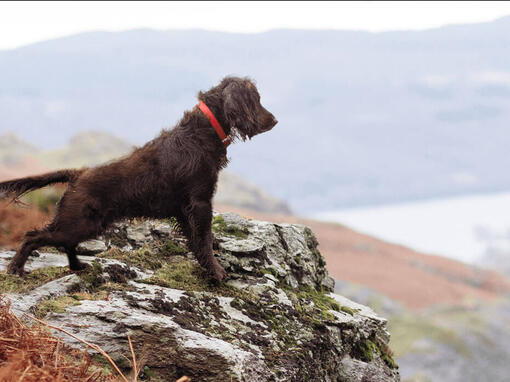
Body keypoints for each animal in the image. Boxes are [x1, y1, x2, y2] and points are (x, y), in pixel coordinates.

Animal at [0, 77, 276, 280]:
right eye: (257, 99)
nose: (274, 120)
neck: (201, 133)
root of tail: (78, 174)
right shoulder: (200, 202)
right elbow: (204, 239)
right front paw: (217, 271)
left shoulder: (185, 209)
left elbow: (197, 240)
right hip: (78, 223)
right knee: (33, 237)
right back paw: (16, 269)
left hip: (86, 224)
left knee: (64, 243)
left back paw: (77, 266)